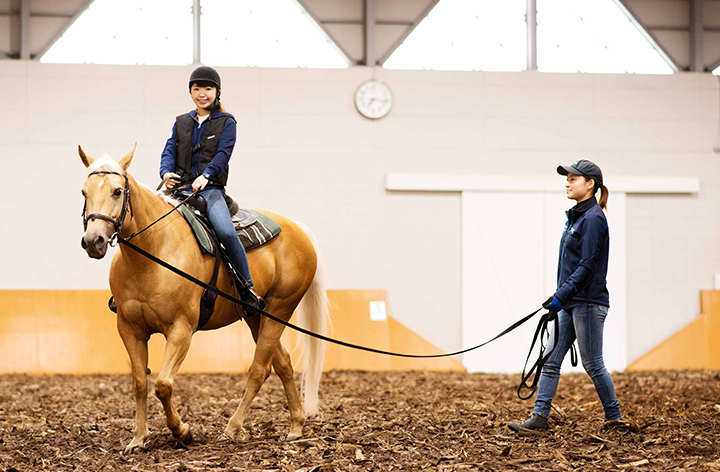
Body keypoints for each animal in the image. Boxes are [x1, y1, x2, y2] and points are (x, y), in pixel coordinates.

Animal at [78, 145, 330, 454]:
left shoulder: (181, 330)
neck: (154, 251)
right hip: (257, 316)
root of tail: (298, 229)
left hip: (280, 309)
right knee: (282, 363)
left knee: (259, 370)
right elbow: (139, 383)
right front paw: (138, 439)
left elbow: (163, 384)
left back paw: (232, 429)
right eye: (84, 192)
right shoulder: (129, 329)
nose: (94, 241)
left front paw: (182, 431)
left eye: (117, 191)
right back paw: (295, 426)